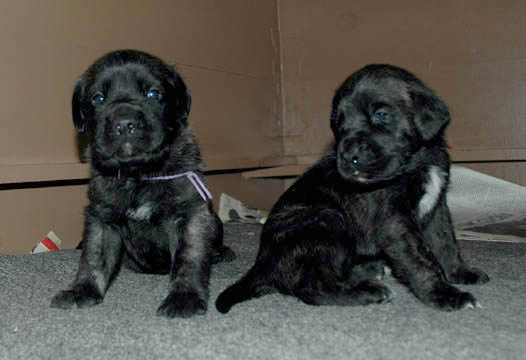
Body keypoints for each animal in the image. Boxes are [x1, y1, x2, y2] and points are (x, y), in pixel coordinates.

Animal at [52, 49, 235, 316]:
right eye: (98, 98)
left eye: (153, 94)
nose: (124, 123)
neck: (138, 174)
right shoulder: (102, 218)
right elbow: (93, 257)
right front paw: (82, 290)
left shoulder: (189, 215)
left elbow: (188, 257)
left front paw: (184, 297)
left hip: (215, 221)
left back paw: (221, 253)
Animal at [219, 66, 490, 314]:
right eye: (339, 124)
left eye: (382, 115)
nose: (349, 157)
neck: (418, 161)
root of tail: (262, 264)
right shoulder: (395, 222)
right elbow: (421, 259)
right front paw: (447, 295)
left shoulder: (437, 207)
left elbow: (445, 242)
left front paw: (460, 272)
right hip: (327, 220)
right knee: (313, 286)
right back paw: (367, 292)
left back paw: (368, 270)